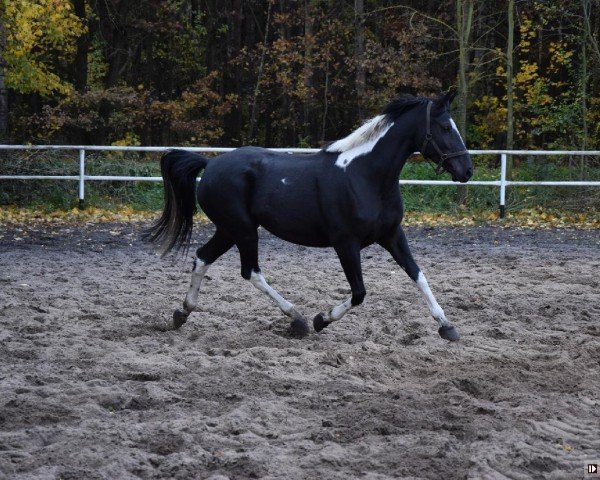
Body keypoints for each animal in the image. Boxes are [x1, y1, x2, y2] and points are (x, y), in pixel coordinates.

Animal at [144, 92, 474, 342]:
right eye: (445, 127)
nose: (467, 171)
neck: (364, 176)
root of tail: (209, 164)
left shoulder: (392, 235)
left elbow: (418, 275)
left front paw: (447, 327)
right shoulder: (346, 243)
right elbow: (359, 293)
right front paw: (321, 320)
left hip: (228, 230)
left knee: (203, 257)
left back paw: (182, 313)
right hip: (243, 230)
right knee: (251, 272)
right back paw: (298, 319)